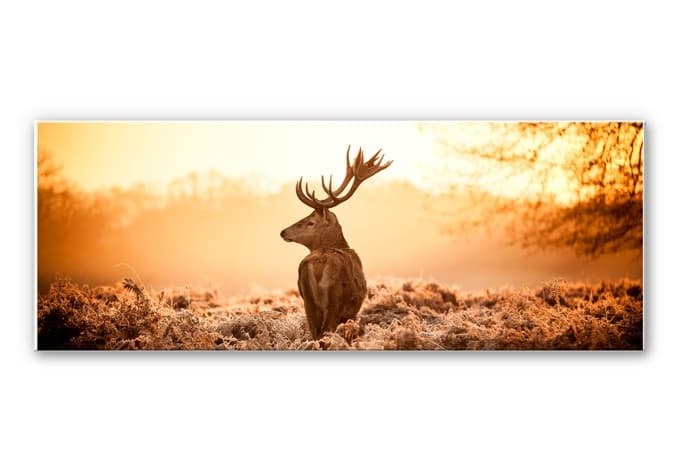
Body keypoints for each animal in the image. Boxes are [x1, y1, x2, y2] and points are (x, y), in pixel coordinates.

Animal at [280, 146, 392, 340]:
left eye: (311, 222)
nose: (283, 232)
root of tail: (318, 263)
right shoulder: (352, 311)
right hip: (335, 301)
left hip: (308, 301)